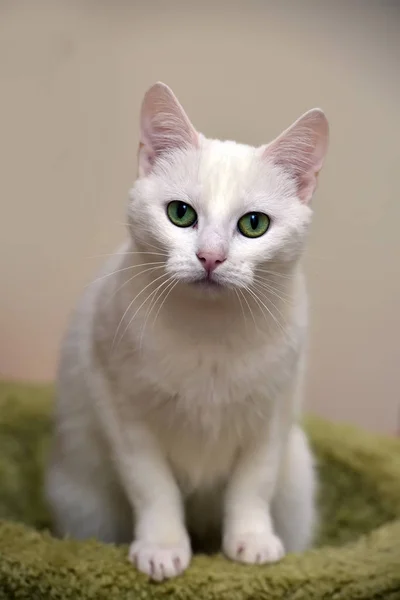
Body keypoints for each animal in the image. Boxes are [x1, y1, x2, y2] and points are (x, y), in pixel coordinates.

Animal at [46, 82, 328, 580]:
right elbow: (153, 487)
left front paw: (251, 542)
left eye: (254, 224)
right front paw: (162, 548)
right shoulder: (123, 411)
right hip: (84, 501)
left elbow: (253, 485)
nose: (211, 257)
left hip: (297, 482)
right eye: (180, 214)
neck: (208, 333)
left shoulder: (271, 417)